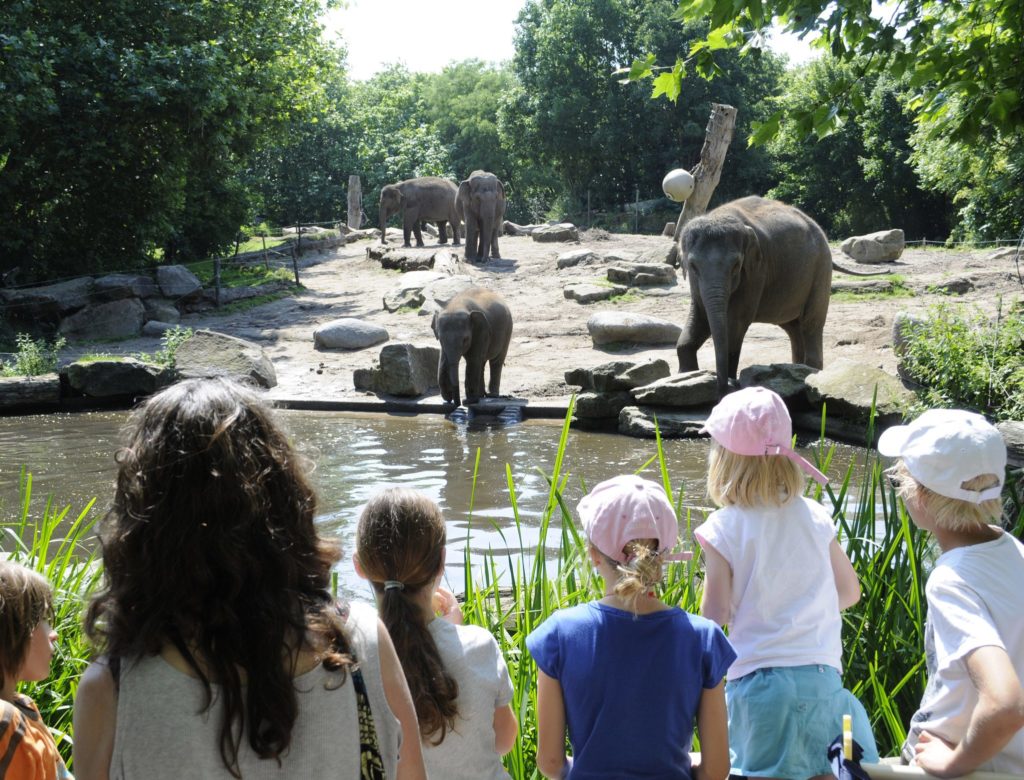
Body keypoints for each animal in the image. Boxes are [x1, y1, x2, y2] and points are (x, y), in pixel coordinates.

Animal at [675, 194, 835, 395]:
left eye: (736, 265)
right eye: (693, 266)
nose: (725, 387)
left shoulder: (755, 272)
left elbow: (736, 323)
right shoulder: (696, 284)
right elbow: (700, 317)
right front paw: (686, 375)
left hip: (821, 269)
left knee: (811, 324)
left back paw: (811, 373)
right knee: (794, 329)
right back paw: (798, 370)